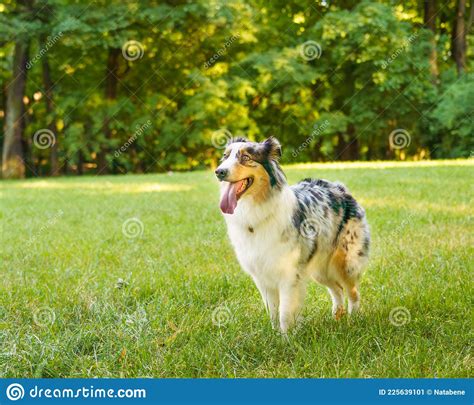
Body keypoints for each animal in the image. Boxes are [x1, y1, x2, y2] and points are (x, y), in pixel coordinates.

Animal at [216, 136, 370, 332]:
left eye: (245, 157)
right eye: (225, 156)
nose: (219, 172)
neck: (255, 210)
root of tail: (339, 188)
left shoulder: (288, 274)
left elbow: (284, 312)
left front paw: (286, 337)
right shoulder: (262, 277)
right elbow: (273, 312)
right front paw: (275, 334)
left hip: (344, 262)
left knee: (352, 292)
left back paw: (353, 320)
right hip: (319, 268)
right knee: (337, 290)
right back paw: (337, 316)